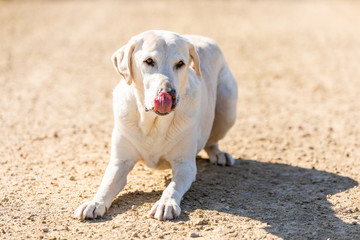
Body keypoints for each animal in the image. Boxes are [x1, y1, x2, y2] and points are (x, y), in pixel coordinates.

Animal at [73, 30, 238, 221]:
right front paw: (95, 202)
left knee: (212, 140)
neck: (154, 122)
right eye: (149, 61)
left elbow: (172, 187)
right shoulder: (119, 162)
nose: (169, 94)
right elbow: (107, 184)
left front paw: (165, 204)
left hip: (227, 108)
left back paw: (219, 154)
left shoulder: (185, 165)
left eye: (180, 64)